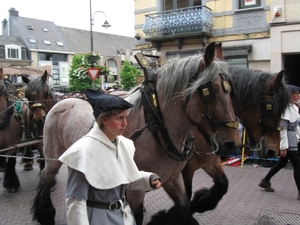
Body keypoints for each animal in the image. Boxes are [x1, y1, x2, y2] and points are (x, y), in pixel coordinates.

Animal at [31, 42, 241, 225]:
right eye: (208, 91)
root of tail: (63, 101)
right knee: (45, 178)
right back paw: (45, 214)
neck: (157, 128)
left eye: (231, 91)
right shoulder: (135, 188)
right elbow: (136, 216)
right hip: (52, 157)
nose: (232, 143)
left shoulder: (173, 177)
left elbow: (184, 205)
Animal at [158, 66, 292, 224]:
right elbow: (187, 193)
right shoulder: (186, 168)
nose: (274, 151)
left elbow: (223, 184)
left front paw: (200, 202)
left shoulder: (210, 161)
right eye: (269, 107)